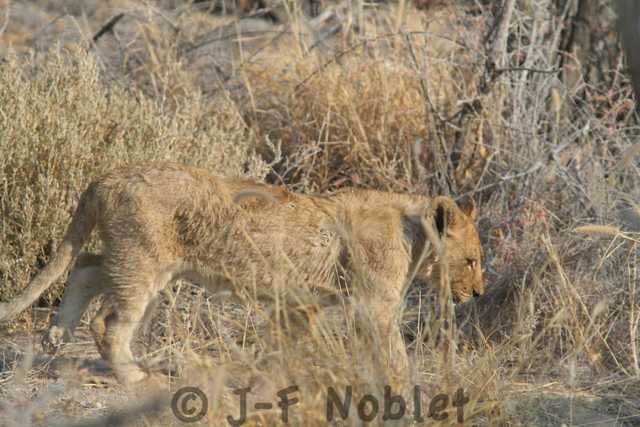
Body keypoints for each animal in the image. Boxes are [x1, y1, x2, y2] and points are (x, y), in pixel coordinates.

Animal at [0, 162, 483, 385]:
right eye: (474, 260)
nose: (478, 294)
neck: (412, 229)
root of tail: (107, 177)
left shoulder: (298, 302)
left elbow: (291, 344)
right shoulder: (376, 304)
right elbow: (393, 351)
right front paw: (405, 386)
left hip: (143, 261)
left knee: (84, 266)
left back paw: (55, 335)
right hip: (142, 261)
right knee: (110, 321)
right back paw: (132, 374)